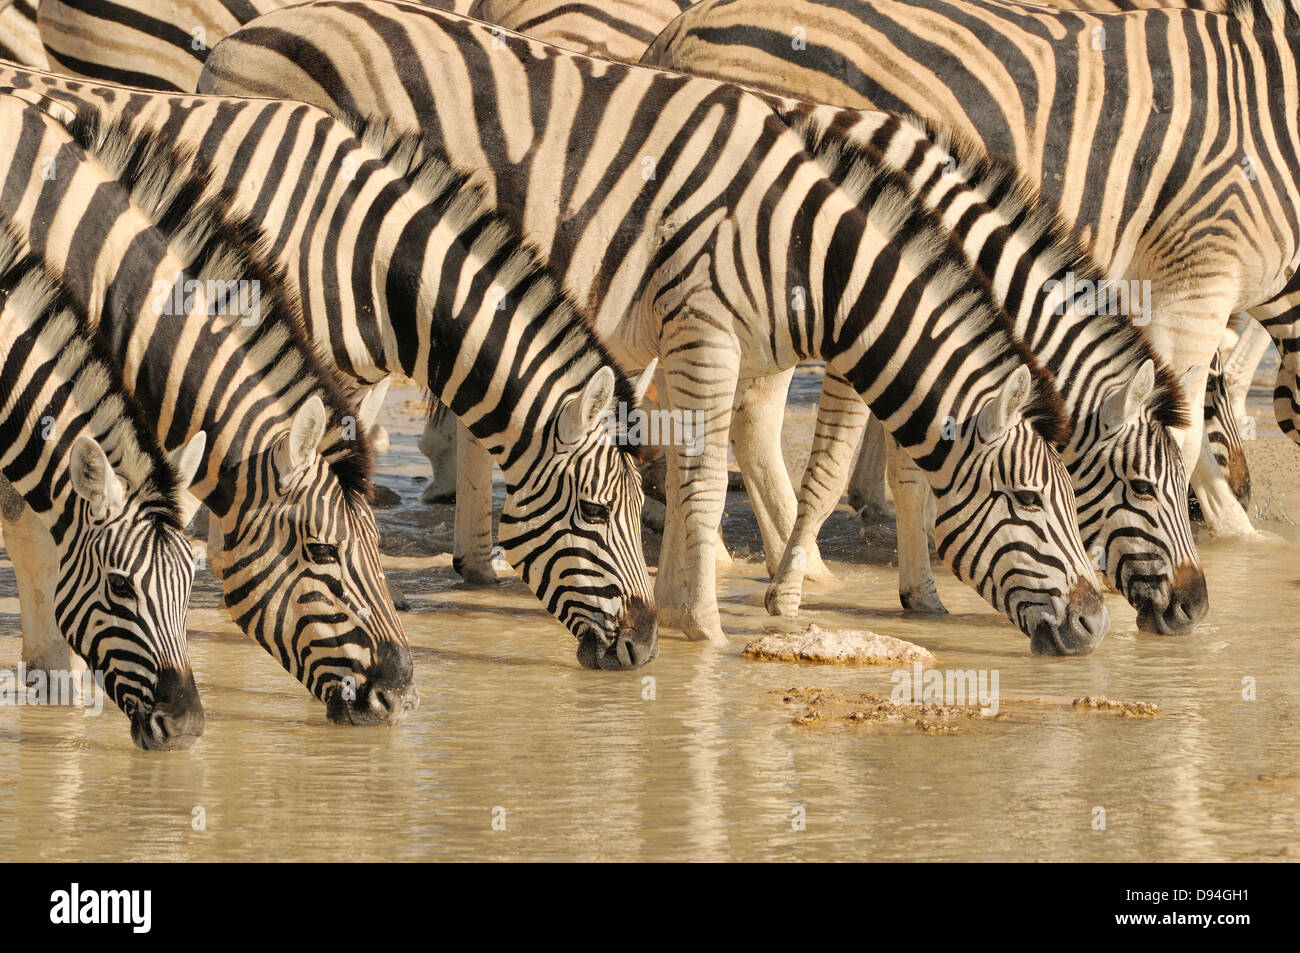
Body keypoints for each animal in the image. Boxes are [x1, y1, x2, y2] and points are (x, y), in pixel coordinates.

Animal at [192, 3, 1107, 650]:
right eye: (1036, 498)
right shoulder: (715, 326)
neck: (815, 242)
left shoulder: (739, 342)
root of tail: (234, 43)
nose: (1101, 623)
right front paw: (713, 615)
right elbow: (725, 466)